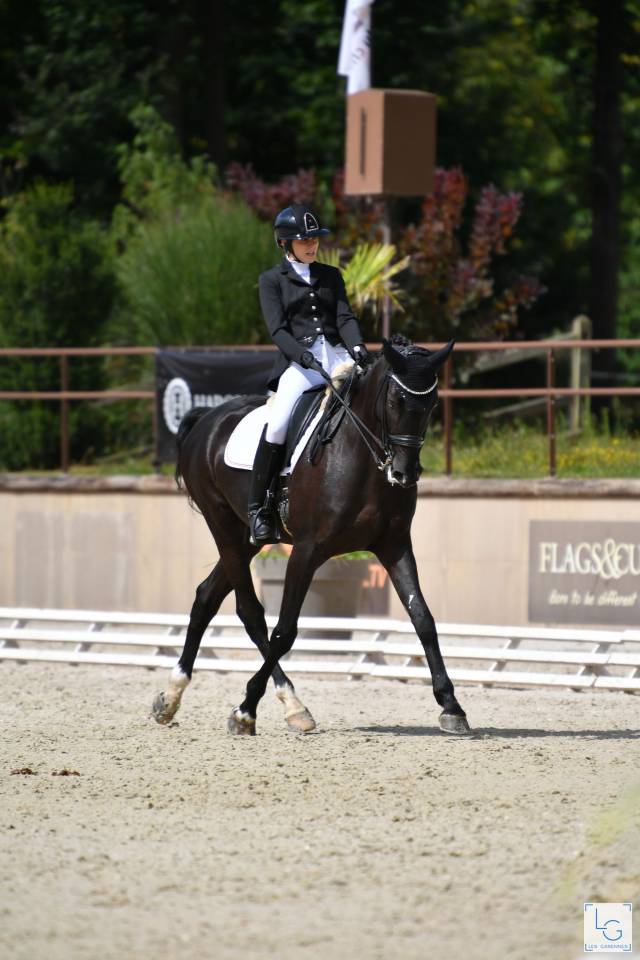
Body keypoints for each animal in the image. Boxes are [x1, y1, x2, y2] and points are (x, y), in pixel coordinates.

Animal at [151, 335, 470, 736]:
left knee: (206, 597)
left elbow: (423, 620)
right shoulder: (307, 550)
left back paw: (171, 698)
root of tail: (205, 420)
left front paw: (451, 706)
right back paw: (288, 705)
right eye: (396, 401)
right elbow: (285, 630)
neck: (362, 458)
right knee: (250, 613)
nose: (403, 473)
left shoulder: (394, 545)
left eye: (432, 403)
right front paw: (244, 710)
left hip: (244, 540)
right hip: (223, 525)